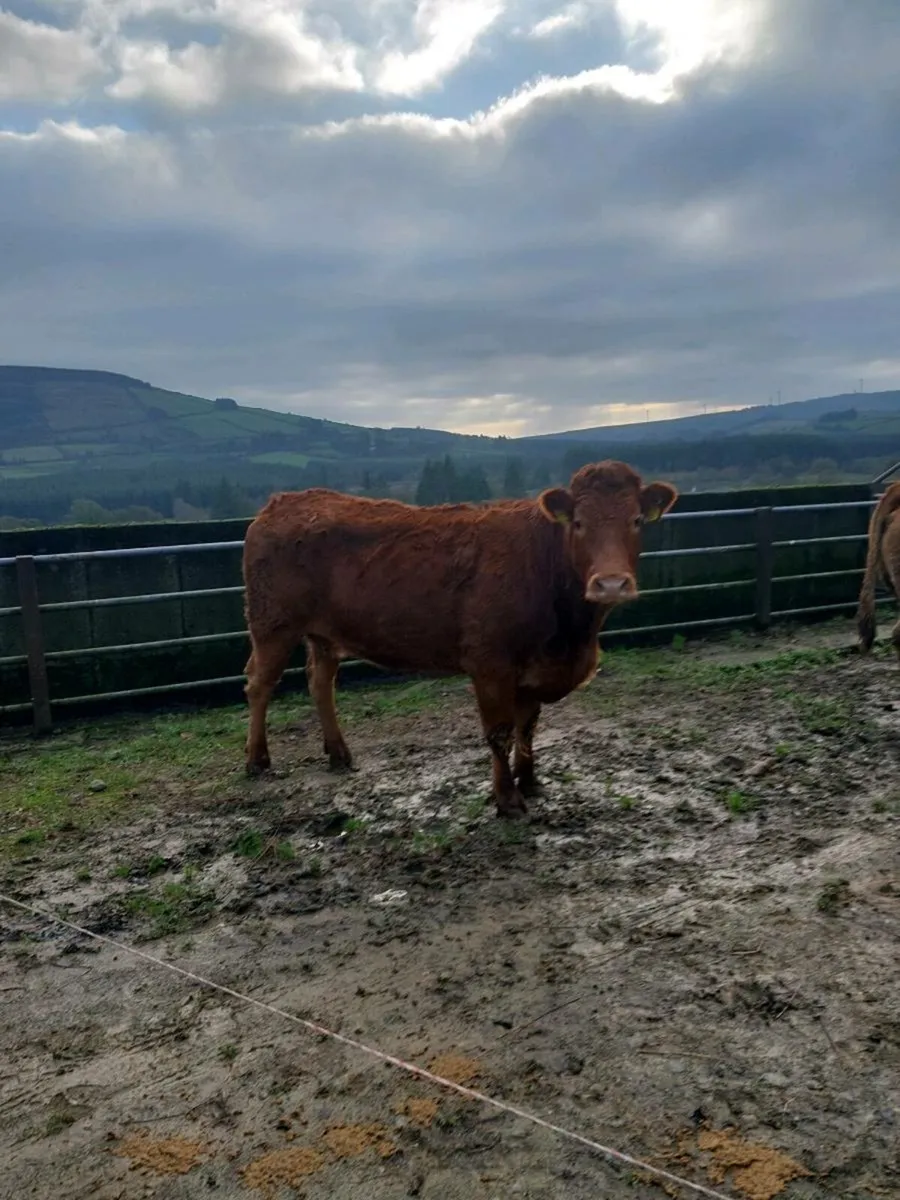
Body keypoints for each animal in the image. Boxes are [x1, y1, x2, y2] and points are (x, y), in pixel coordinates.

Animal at [242, 460, 678, 817]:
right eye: (578, 523)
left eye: (637, 520)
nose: (611, 583)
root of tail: (281, 503)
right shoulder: (490, 664)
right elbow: (500, 732)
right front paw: (508, 799)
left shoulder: (534, 668)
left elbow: (528, 726)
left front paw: (530, 781)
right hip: (271, 625)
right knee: (259, 683)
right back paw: (257, 760)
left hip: (324, 634)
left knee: (320, 682)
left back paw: (338, 753)